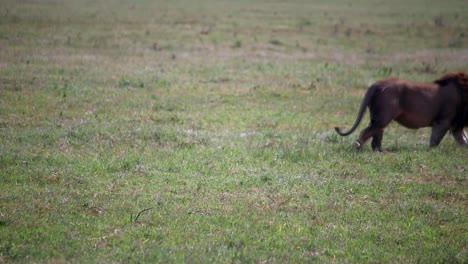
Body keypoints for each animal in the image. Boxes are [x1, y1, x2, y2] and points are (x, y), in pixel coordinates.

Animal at [334, 71, 468, 151]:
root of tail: (377, 84)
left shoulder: (456, 125)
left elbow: (463, 139)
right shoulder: (443, 121)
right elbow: (435, 140)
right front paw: (431, 151)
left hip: (378, 117)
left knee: (376, 133)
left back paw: (380, 151)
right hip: (383, 117)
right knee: (366, 132)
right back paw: (359, 149)